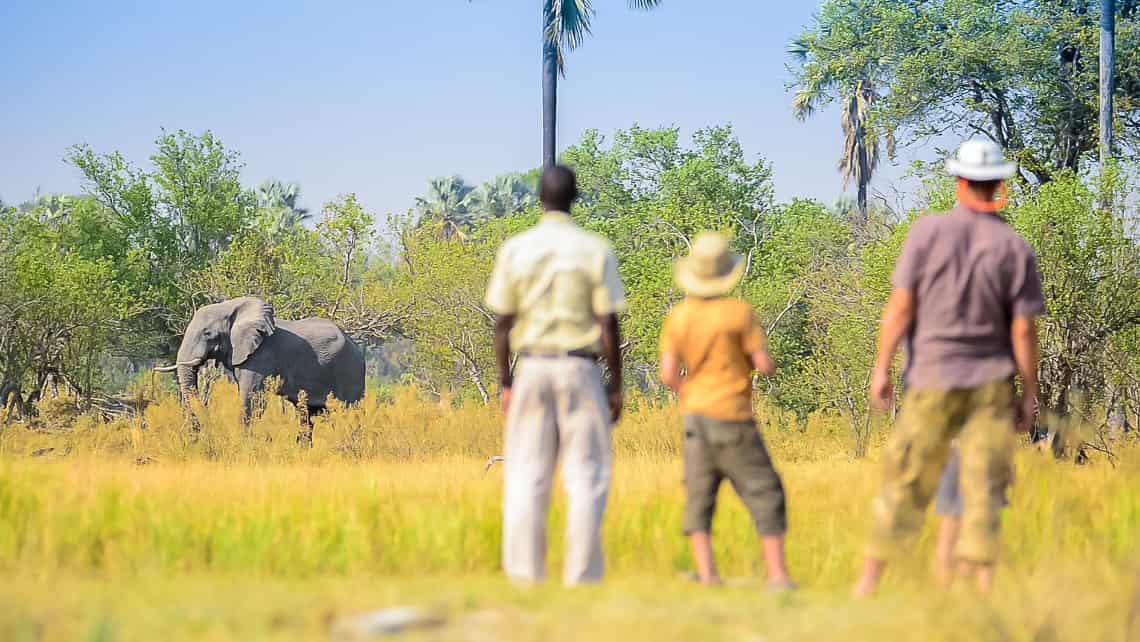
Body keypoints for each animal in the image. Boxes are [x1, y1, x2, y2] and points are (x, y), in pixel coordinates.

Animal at [153, 298, 362, 426]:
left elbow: (251, 398)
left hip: (350, 370)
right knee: (306, 416)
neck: (231, 306)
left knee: (349, 412)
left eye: (207, 333)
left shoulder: (261, 356)